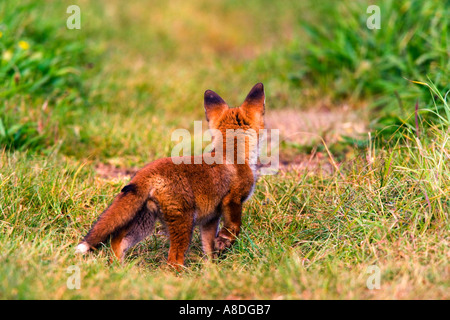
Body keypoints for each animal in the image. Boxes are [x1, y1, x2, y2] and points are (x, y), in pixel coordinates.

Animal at [75, 83, 266, 270]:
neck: (232, 154)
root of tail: (147, 172)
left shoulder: (210, 219)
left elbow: (209, 249)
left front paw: (212, 270)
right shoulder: (233, 200)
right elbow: (233, 228)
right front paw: (224, 244)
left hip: (144, 223)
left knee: (117, 242)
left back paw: (119, 270)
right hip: (183, 223)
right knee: (173, 260)